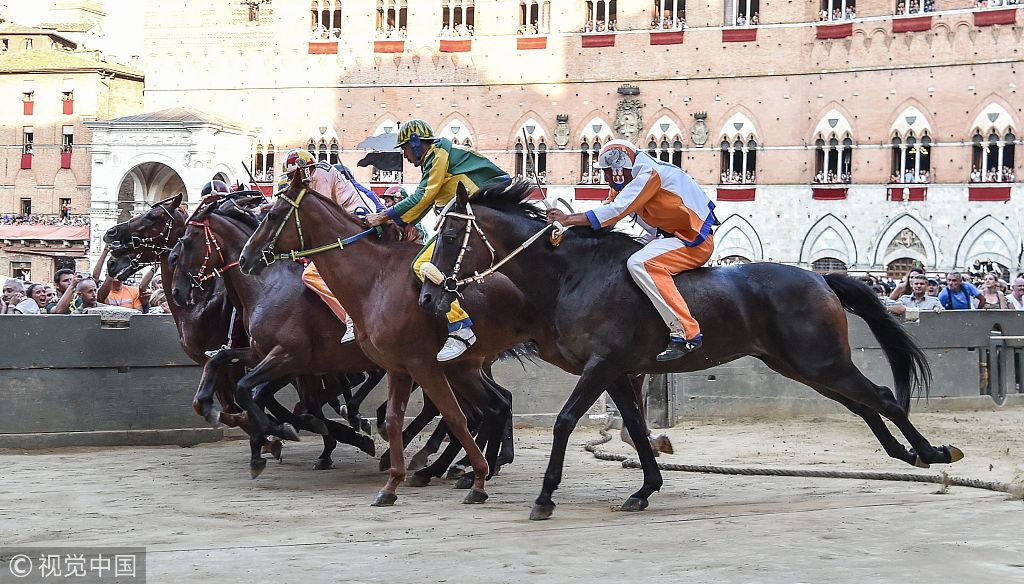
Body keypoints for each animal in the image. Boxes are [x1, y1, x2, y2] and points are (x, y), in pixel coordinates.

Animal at [235, 174, 540, 504]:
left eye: (272, 214)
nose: (245, 258)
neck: (373, 279)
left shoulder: (418, 364)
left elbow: (451, 416)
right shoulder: (394, 367)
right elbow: (392, 419)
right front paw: (390, 481)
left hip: (462, 367)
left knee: (483, 410)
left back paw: (466, 470)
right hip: (466, 368)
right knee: (497, 405)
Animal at [419, 180, 962, 518]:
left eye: (451, 232)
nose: (427, 294)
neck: (574, 275)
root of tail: (820, 277)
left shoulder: (602, 366)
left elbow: (566, 421)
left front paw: (546, 495)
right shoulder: (621, 372)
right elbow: (637, 429)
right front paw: (645, 489)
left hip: (821, 360)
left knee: (882, 398)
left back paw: (929, 451)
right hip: (803, 366)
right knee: (863, 404)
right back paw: (905, 452)